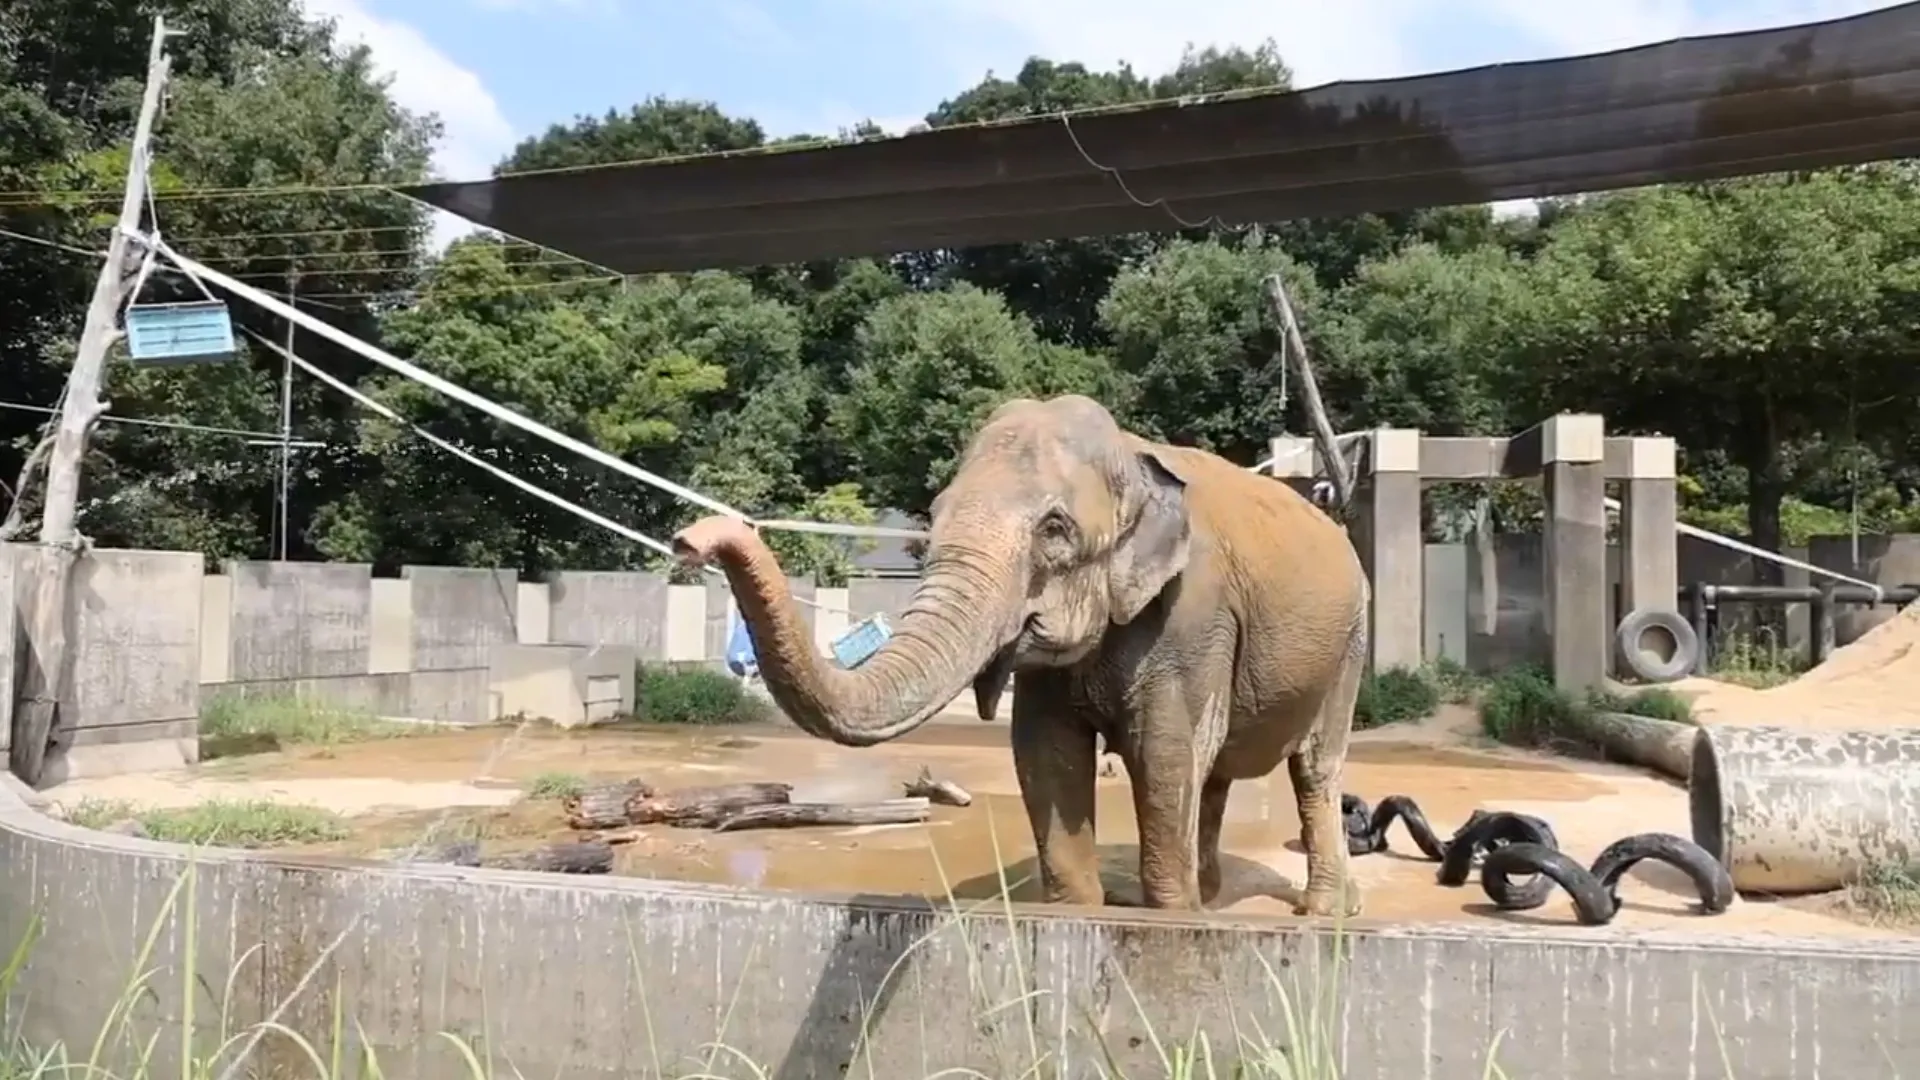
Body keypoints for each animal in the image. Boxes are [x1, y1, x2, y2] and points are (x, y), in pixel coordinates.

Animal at [670, 395, 1371, 915]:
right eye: (934, 514)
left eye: (1054, 530)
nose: (689, 540)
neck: (1131, 453)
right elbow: (1045, 755)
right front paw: (1086, 913)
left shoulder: (1191, 614)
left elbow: (1166, 755)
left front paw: (1172, 922)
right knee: (1218, 773)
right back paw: (1216, 895)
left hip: (1351, 641)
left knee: (1313, 767)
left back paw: (1320, 912)